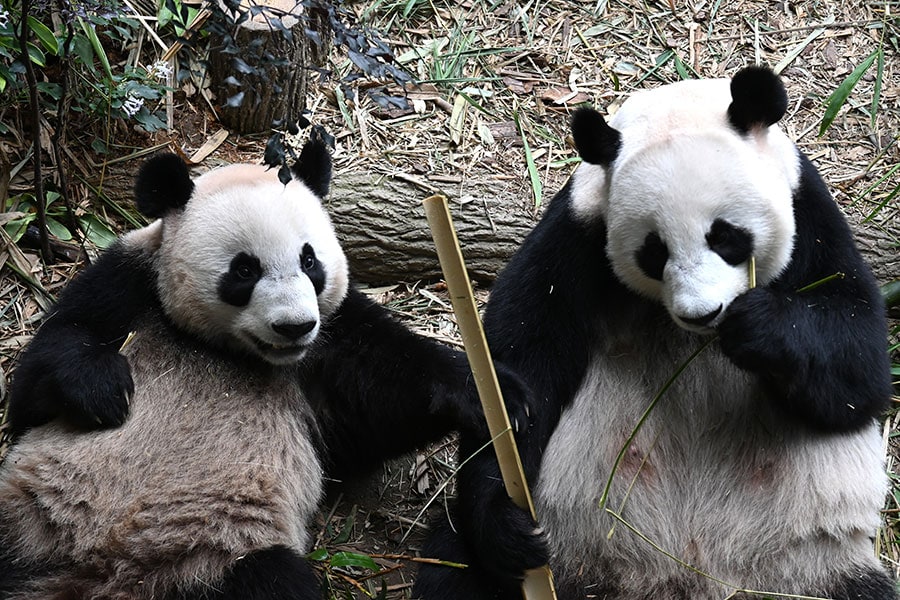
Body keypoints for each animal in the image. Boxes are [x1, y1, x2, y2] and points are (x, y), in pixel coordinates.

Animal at [0, 137, 510, 600]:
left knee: (272, 580)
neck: (226, 350)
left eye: (310, 260)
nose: (295, 326)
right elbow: (41, 374)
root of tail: (103, 574)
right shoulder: (129, 283)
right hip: (29, 514)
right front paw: (106, 389)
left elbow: (383, 399)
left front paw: (494, 395)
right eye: (244, 270)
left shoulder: (330, 346)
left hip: (215, 559)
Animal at [414, 65, 892, 600]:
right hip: (566, 536)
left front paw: (757, 327)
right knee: (453, 562)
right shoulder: (577, 232)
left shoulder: (808, 213)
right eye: (654, 251)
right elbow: (527, 367)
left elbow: (859, 367)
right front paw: (508, 523)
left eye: (725, 236)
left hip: (808, 562)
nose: (703, 314)